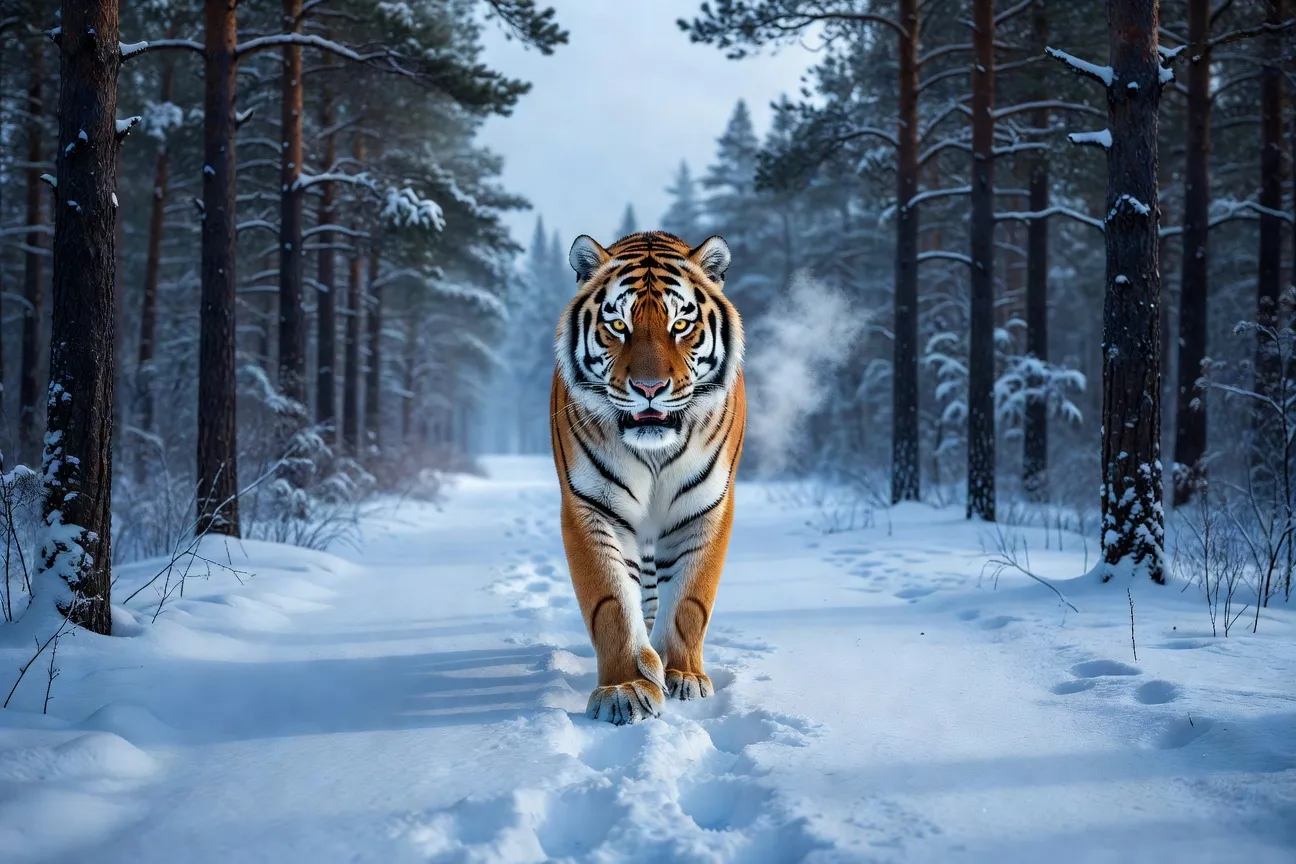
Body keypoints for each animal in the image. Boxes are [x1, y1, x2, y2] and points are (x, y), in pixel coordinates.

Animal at [550, 230, 746, 726]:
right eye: (618, 325)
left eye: (681, 325)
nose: (650, 388)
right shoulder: (590, 506)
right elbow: (611, 603)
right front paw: (625, 689)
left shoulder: (705, 508)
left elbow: (689, 600)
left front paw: (683, 676)